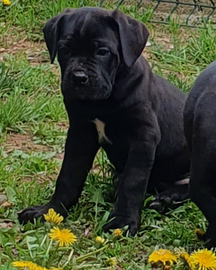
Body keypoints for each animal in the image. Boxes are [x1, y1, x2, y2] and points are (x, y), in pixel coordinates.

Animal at [18, 6, 191, 234]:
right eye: (65, 49)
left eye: (102, 52)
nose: (79, 77)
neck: (102, 101)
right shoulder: (80, 133)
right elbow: (68, 176)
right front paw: (50, 211)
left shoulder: (143, 137)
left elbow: (133, 181)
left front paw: (123, 222)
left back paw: (166, 199)